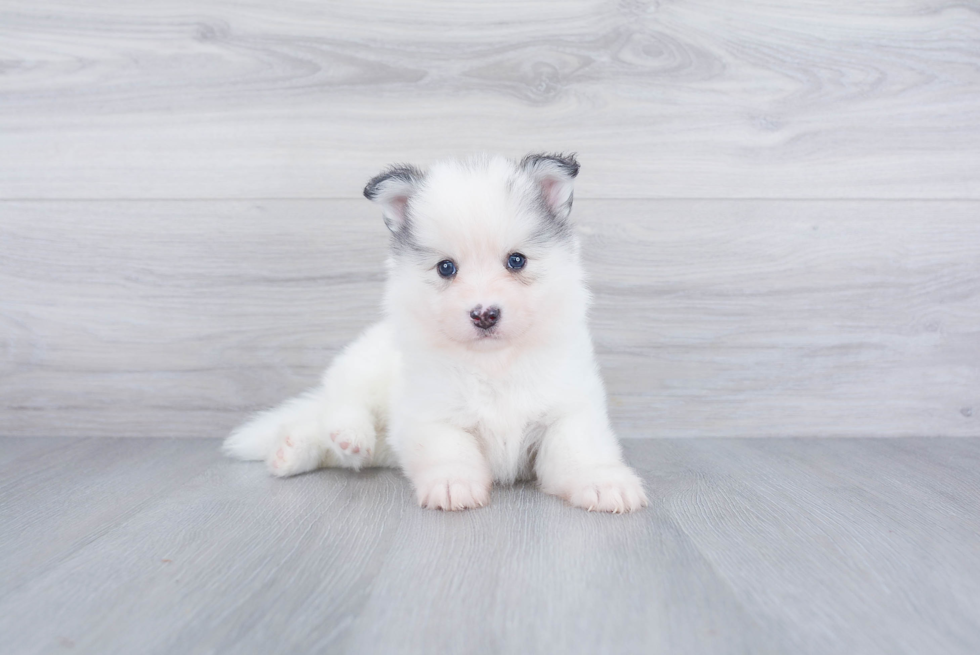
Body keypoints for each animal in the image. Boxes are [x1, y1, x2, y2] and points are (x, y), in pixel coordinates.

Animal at [225, 152, 648, 512]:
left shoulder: (566, 409)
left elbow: (579, 451)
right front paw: (452, 484)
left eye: (516, 261)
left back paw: (290, 450)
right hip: (366, 367)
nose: (484, 314)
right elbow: (450, 450)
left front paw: (603, 483)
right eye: (447, 268)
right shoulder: (432, 414)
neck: (494, 364)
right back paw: (346, 434)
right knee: (340, 404)